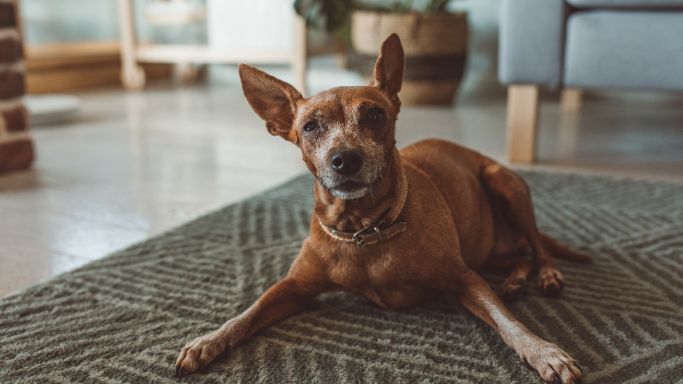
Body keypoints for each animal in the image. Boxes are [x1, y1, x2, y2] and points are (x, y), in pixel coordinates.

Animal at [179, 34, 592, 382]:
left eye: (375, 115)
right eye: (310, 126)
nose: (345, 159)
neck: (362, 228)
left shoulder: (465, 277)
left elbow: (506, 322)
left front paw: (542, 351)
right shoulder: (293, 286)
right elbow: (248, 313)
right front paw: (208, 340)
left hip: (504, 185)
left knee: (536, 245)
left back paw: (546, 275)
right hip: (489, 248)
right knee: (520, 254)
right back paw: (516, 279)